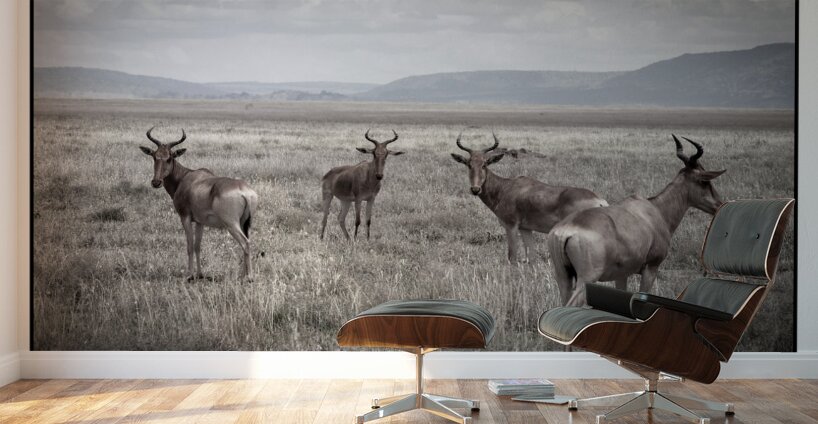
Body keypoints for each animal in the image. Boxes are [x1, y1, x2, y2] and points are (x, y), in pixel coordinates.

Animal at [139, 127, 258, 280]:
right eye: (154, 156)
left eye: (169, 157)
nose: (156, 182)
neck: (185, 177)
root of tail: (244, 190)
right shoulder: (200, 221)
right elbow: (197, 246)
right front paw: (200, 274)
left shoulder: (185, 217)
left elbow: (189, 245)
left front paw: (189, 275)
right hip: (244, 223)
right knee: (246, 243)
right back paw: (242, 276)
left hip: (231, 224)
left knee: (245, 243)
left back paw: (249, 278)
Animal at [450, 133, 607, 263]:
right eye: (468, 164)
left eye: (484, 164)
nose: (475, 189)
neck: (506, 187)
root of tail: (599, 201)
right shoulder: (526, 229)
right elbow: (531, 258)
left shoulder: (511, 226)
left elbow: (512, 258)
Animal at [548, 135, 725, 306]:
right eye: (705, 181)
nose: (719, 205)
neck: (655, 210)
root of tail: (566, 231)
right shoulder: (651, 268)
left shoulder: (621, 274)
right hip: (587, 278)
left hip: (563, 276)